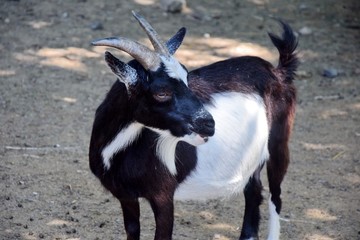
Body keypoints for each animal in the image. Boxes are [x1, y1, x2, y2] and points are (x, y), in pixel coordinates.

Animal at [89, 11, 298, 240]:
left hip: (278, 142)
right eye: (161, 92)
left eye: (187, 78)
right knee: (253, 190)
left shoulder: (163, 196)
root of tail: (277, 71)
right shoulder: (126, 196)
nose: (209, 124)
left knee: (275, 196)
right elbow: (132, 230)